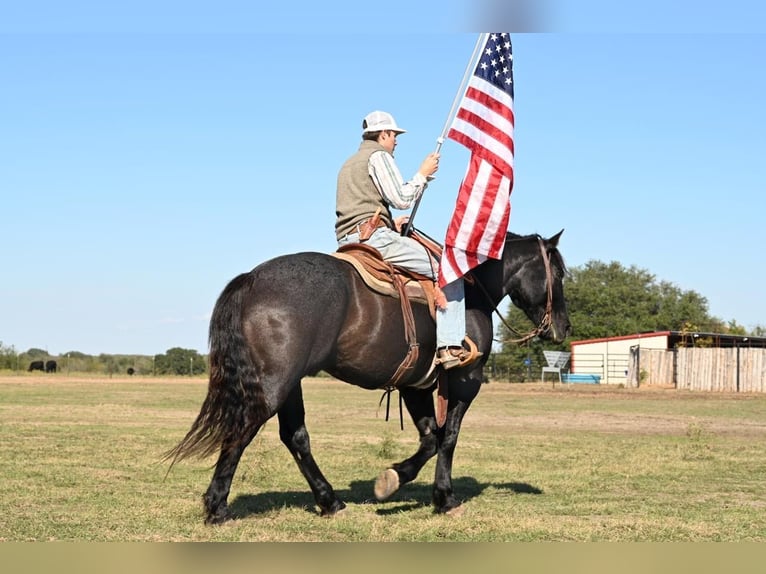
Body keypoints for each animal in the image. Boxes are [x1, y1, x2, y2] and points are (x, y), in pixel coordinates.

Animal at [171, 231, 572, 528]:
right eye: (559, 273)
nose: (563, 327)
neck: (471, 290)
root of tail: (252, 279)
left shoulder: (415, 386)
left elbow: (431, 437)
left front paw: (394, 479)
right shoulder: (465, 380)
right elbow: (448, 437)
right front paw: (443, 497)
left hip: (290, 385)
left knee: (295, 437)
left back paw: (330, 502)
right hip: (275, 385)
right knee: (242, 432)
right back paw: (218, 508)